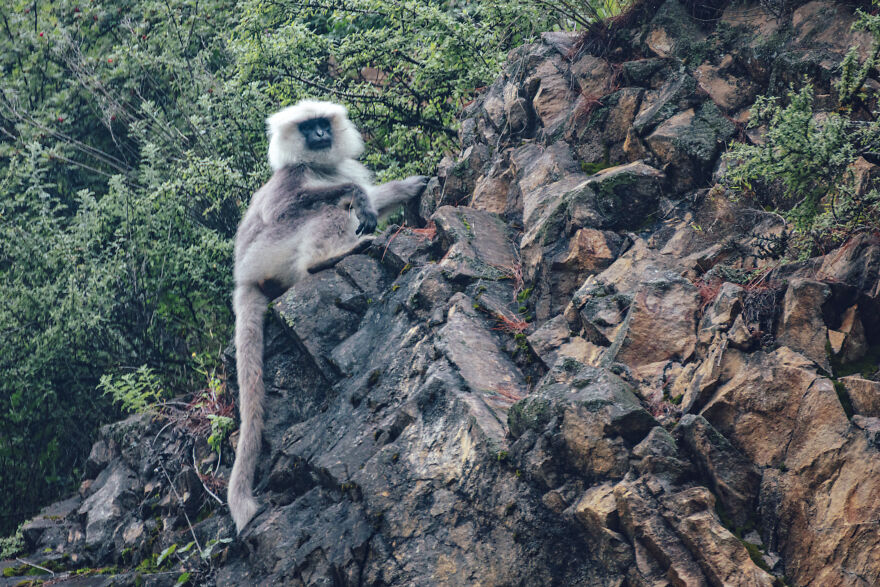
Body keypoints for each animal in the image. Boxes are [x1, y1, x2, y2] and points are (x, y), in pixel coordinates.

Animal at [227, 100, 428, 534]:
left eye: (322, 124)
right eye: (307, 128)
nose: (320, 135)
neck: (319, 166)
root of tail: (244, 278)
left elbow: (373, 199)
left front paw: (409, 187)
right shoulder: (290, 179)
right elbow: (291, 206)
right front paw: (358, 197)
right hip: (271, 252)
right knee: (324, 210)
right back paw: (327, 258)